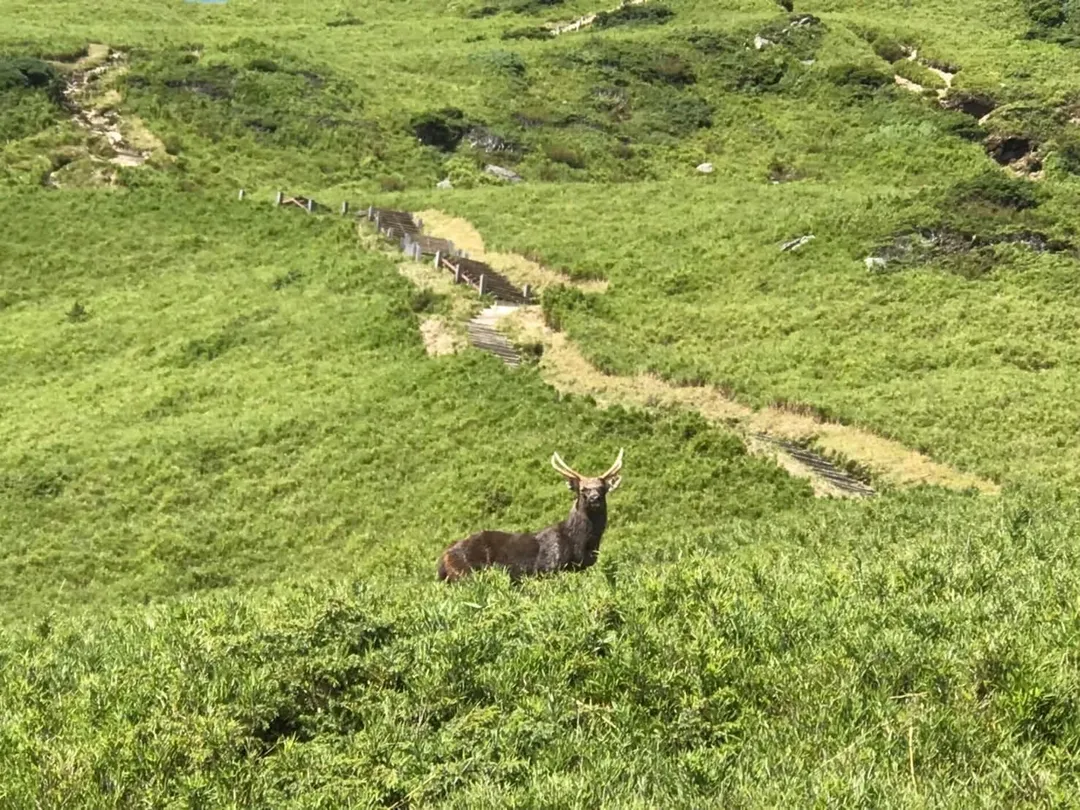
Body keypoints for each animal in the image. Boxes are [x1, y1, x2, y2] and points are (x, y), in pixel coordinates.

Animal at [437, 449, 624, 583]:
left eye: (602, 489)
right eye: (583, 490)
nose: (594, 498)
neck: (579, 544)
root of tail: (443, 558)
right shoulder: (548, 568)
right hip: (466, 574)